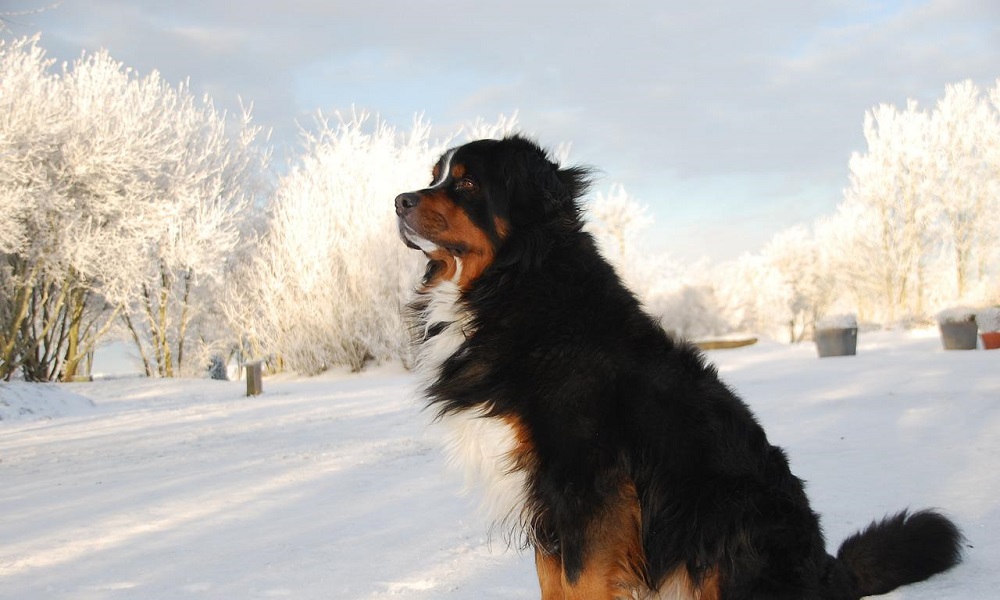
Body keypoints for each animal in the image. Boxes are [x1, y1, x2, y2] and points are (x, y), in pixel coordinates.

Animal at [392, 136, 960, 600]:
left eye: (467, 182)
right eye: (436, 174)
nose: (399, 201)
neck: (517, 286)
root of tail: (828, 570)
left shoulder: (585, 483)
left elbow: (579, 583)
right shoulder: (550, 499)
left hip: (730, 523)